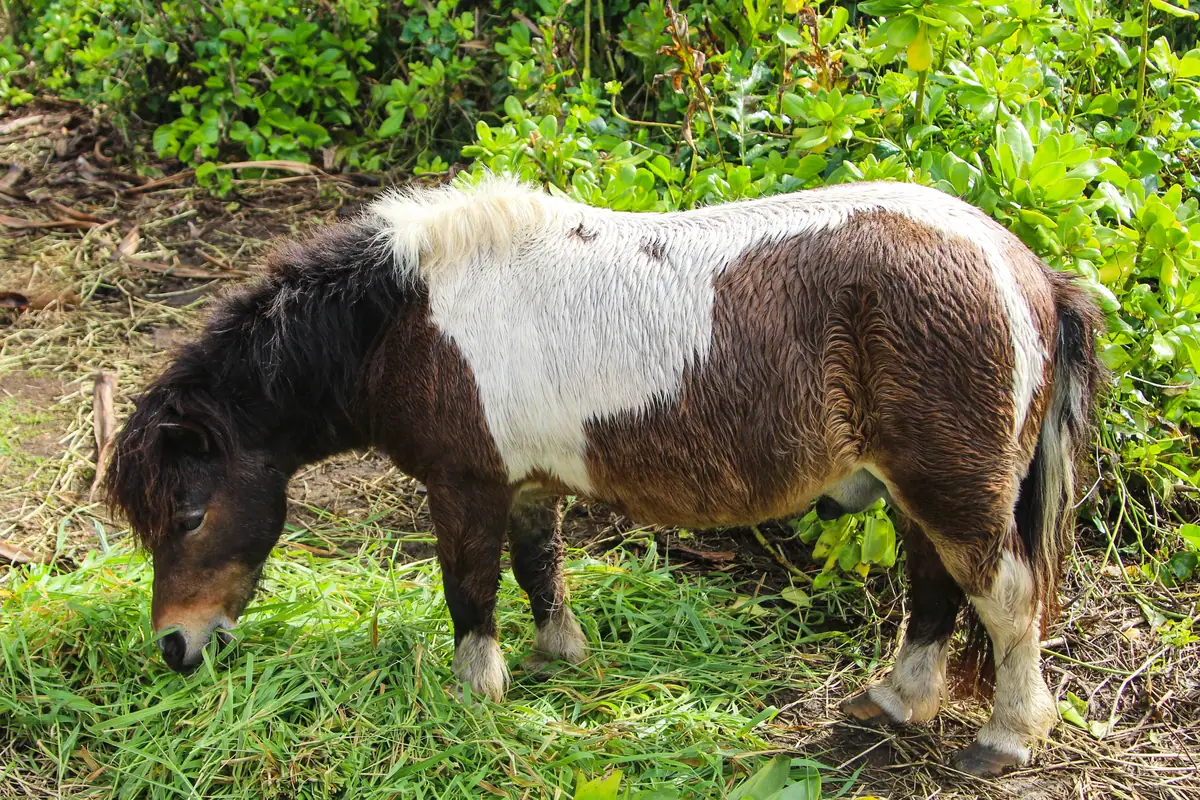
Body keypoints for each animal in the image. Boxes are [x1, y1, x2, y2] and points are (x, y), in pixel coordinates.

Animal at [106, 175, 1102, 777]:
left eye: (188, 516)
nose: (174, 648)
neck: (408, 318)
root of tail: (1028, 273)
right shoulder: (526, 482)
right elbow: (538, 566)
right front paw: (561, 657)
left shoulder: (464, 484)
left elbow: (470, 587)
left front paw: (476, 695)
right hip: (919, 493)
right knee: (935, 591)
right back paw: (898, 699)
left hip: (953, 490)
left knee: (1005, 598)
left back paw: (1007, 736)